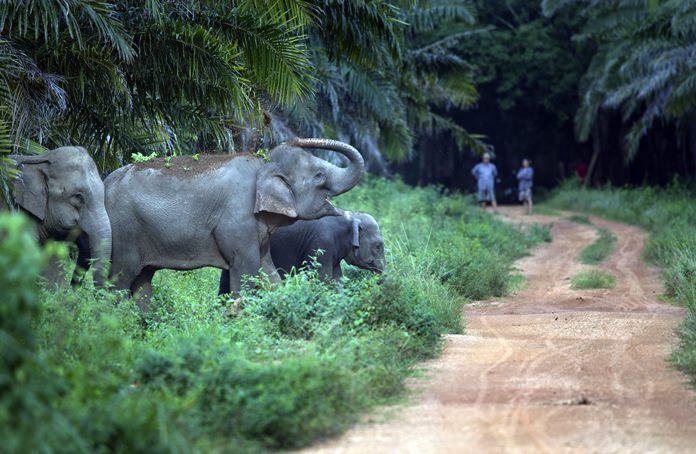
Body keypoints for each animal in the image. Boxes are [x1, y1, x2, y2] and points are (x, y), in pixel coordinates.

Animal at [102, 138, 364, 309]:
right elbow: (246, 269)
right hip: (124, 231)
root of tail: (105, 183)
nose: (297, 138)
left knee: (142, 281)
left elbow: (267, 270)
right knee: (119, 280)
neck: (263, 164)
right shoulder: (238, 218)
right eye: (319, 175)